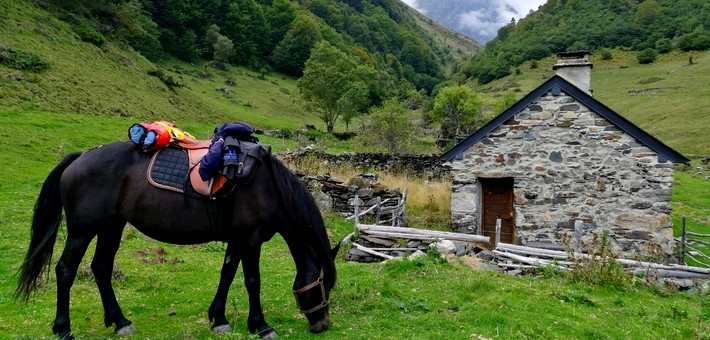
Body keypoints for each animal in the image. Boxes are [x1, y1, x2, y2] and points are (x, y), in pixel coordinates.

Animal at [16, 139, 340, 338]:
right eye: (324, 284)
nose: (322, 324)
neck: (268, 187)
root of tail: (81, 157)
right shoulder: (250, 239)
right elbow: (252, 281)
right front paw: (260, 326)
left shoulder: (236, 240)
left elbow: (227, 275)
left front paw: (219, 319)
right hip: (82, 231)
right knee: (65, 270)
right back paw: (64, 328)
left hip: (112, 226)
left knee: (101, 268)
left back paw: (120, 322)